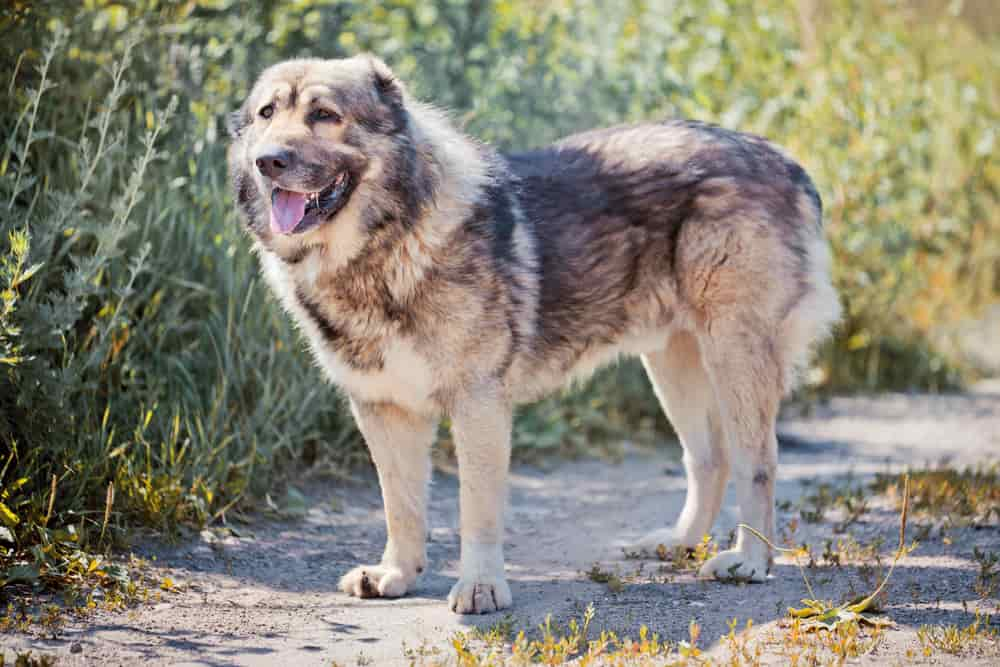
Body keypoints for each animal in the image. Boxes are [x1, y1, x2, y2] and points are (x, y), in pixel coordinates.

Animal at [227, 56, 836, 616]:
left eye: (325, 115)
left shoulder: (477, 405)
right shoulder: (383, 409)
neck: (386, 245)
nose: (268, 160)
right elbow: (400, 505)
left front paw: (480, 586)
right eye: (267, 114)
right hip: (673, 362)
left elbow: (476, 509)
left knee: (757, 459)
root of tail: (781, 159)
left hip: (734, 353)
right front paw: (396, 573)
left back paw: (750, 560)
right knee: (708, 458)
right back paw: (680, 542)